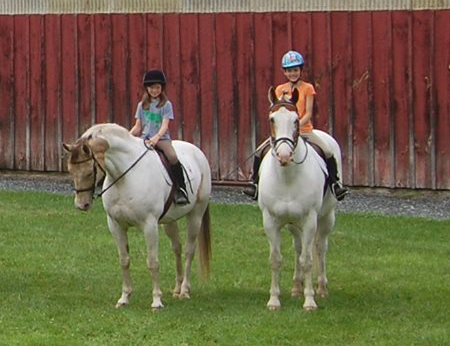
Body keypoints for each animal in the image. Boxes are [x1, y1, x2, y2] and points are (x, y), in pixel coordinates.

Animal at [62, 123, 212, 310]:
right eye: (70, 171)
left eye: (89, 172)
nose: (81, 205)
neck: (124, 178)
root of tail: (198, 152)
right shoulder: (116, 225)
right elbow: (124, 260)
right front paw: (124, 298)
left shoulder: (150, 225)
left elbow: (153, 262)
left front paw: (156, 301)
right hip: (170, 221)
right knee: (177, 247)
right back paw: (177, 289)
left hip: (196, 215)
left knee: (189, 251)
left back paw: (184, 290)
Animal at [256, 87, 338, 310]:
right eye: (272, 119)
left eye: (295, 120)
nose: (284, 155)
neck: (287, 178)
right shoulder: (270, 220)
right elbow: (276, 259)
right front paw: (274, 300)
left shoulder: (310, 219)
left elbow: (308, 260)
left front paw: (309, 301)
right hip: (293, 223)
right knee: (298, 247)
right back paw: (295, 288)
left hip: (326, 217)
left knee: (320, 248)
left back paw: (321, 288)